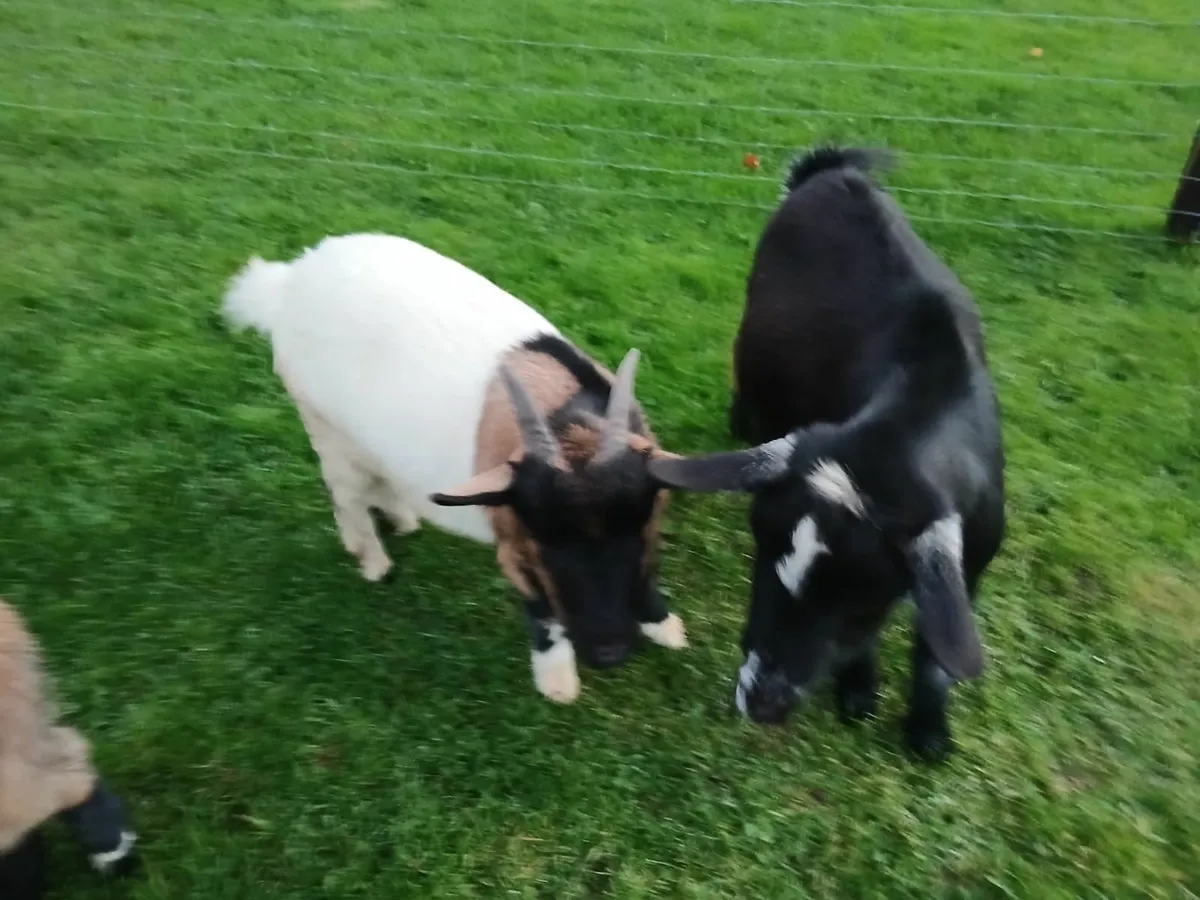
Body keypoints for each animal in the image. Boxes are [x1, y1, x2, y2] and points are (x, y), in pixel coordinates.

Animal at [222, 233, 687, 704]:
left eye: (630, 531)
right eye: (545, 541)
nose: (609, 654)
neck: (568, 419)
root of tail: (288, 281)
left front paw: (667, 630)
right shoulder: (512, 541)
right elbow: (540, 608)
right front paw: (558, 685)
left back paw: (403, 520)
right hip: (325, 426)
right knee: (345, 493)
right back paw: (374, 563)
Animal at [649, 147, 1006, 760]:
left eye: (862, 601)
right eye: (764, 564)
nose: (761, 702)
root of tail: (831, 170)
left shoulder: (970, 560)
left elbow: (935, 653)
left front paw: (929, 732)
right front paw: (858, 693)